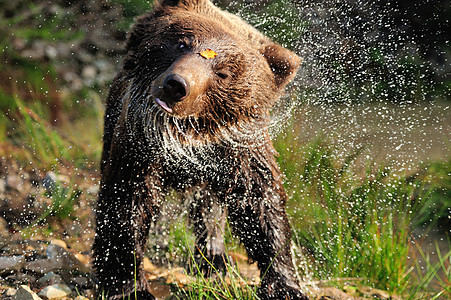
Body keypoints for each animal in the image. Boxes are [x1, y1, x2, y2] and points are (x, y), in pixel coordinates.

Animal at [94, 0, 308, 298]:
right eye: (181, 43)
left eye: (224, 72)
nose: (177, 85)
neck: (189, 137)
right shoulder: (140, 142)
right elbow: (128, 203)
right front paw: (129, 286)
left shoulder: (240, 151)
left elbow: (261, 207)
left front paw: (284, 285)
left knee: (208, 207)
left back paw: (213, 258)